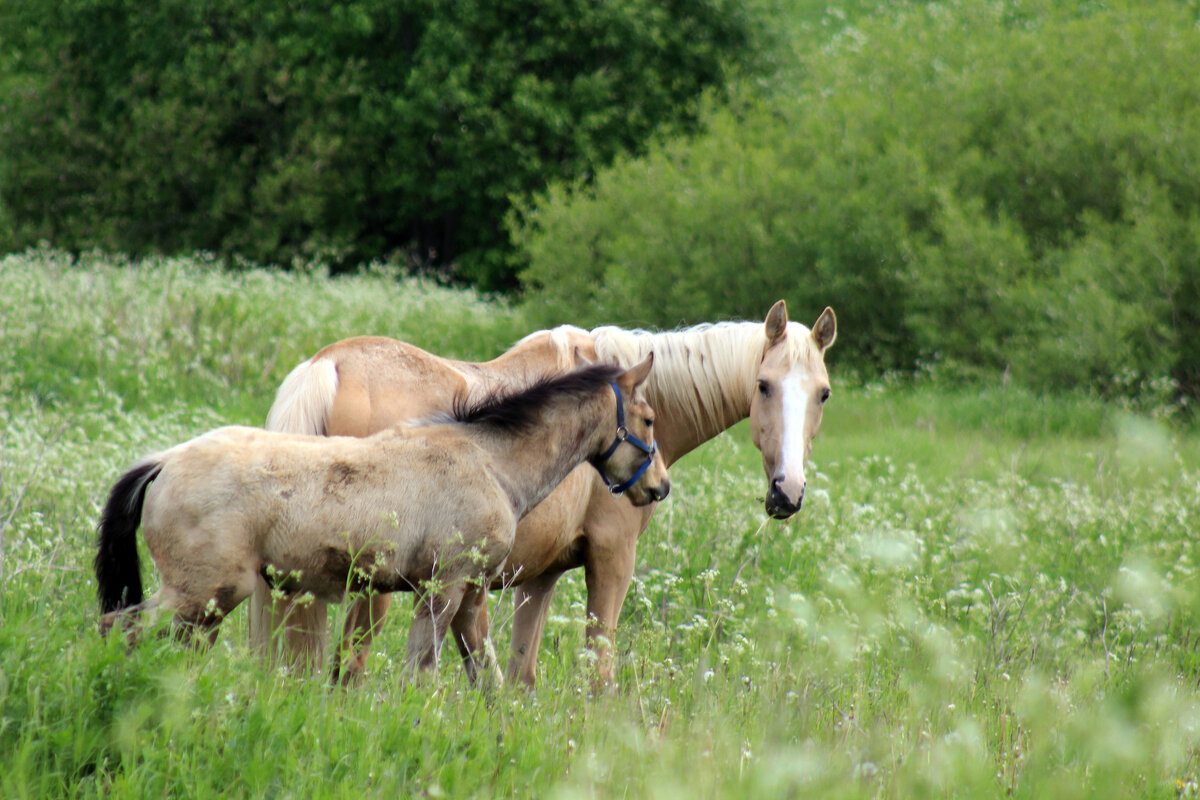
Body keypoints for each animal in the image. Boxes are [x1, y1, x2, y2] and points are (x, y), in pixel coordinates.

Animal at [98, 359, 672, 686]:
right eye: (648, 420)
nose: (659, 486)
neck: (490, 462)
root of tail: (164, 460)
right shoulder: (443, 587)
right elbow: (423, 670)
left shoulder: (470, 594)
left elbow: (482, 674)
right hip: (206, 591)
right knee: (123, 627)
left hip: (209, 605)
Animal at [253, 297, 835, 686]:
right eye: (763, 386)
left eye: (823, 394)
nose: (787, 491)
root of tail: (326, 365)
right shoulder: (611, 560)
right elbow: (598, 673)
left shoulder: (540, 575)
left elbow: (517, 677)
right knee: (348, 667)